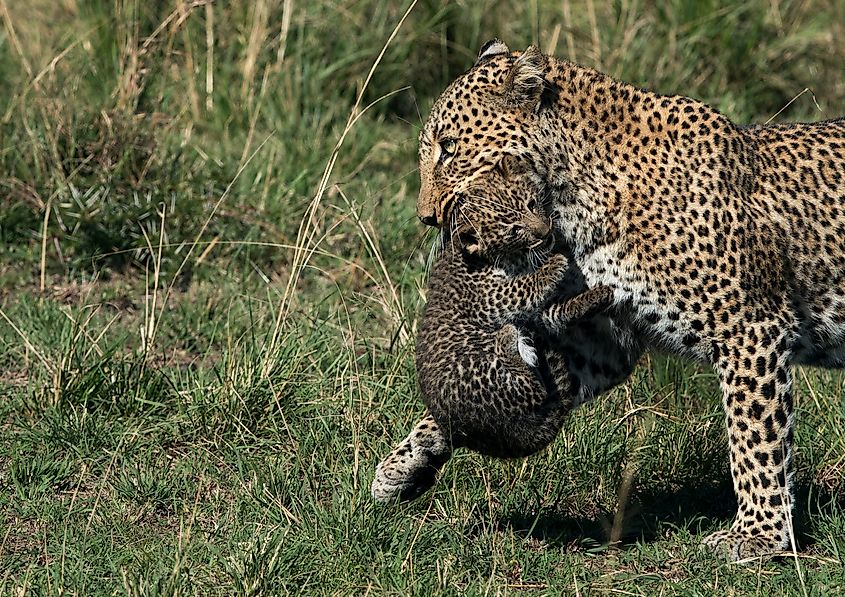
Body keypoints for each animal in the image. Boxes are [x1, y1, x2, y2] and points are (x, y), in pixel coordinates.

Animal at [409, 39, 845, 561]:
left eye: (449, 149)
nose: (425, 216)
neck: (573, 196)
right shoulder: (609, 336)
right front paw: (406, 464)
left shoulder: (752, 330)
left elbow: (755, 436)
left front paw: (757, 535)